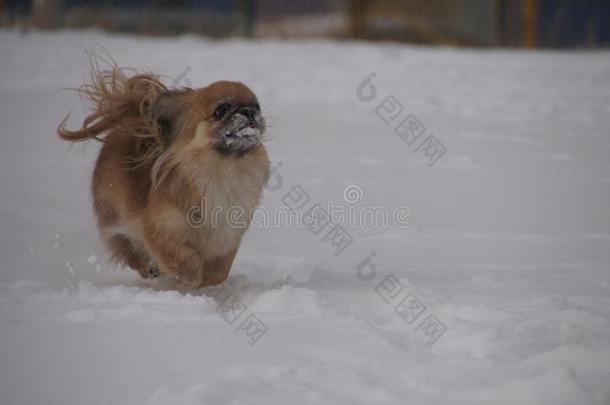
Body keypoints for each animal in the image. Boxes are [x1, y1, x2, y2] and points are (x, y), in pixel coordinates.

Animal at [58, 59, 268, 288]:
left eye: (257, 106)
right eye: (221, 110)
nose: (249, 111)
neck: (223, 171)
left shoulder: (227, 236)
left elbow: (220, 269)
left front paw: (208, 282)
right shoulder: (160, 230)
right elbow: (185, 257)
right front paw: (191, 276)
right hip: (113, 214)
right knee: (129, 251)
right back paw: (150, 268)